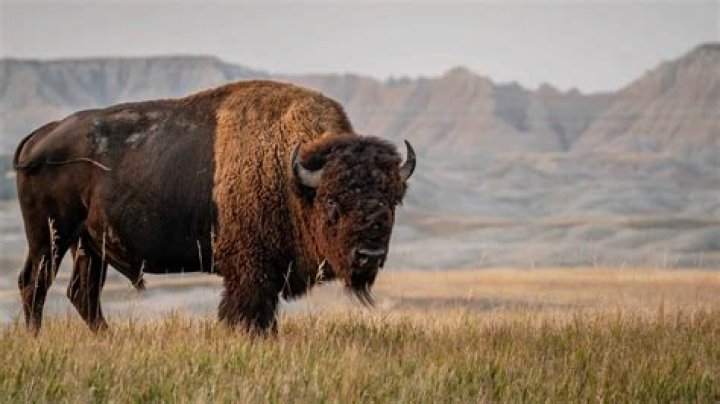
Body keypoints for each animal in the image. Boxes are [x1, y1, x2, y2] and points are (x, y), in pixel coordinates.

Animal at [13, 80, 416, 334]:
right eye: (332, 200)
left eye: (393, 200)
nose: (369, 255)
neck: (292, 176)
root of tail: (40, 136)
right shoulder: (250, 272)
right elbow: (249, 315)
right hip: (50, 237)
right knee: (35, 283)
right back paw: (36, 339)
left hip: (89, 245)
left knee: (82, 293)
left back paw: (107, 339)